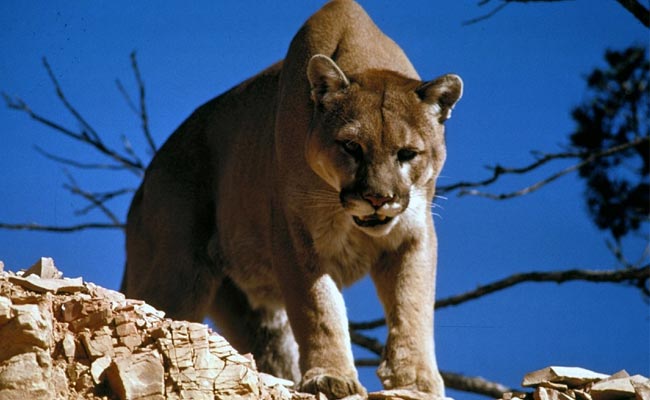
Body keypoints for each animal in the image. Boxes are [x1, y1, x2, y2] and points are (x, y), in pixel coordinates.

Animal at [123, 1, 462, 398]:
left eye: (408, 154)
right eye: (351, 147)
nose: (378, 198)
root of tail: (148, 177)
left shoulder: (413, 233)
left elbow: (413, 306)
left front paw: (416, 381)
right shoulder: (295, 235)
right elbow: (319, 308)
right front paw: (332, 377)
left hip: (251, 310)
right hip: (176, 272)